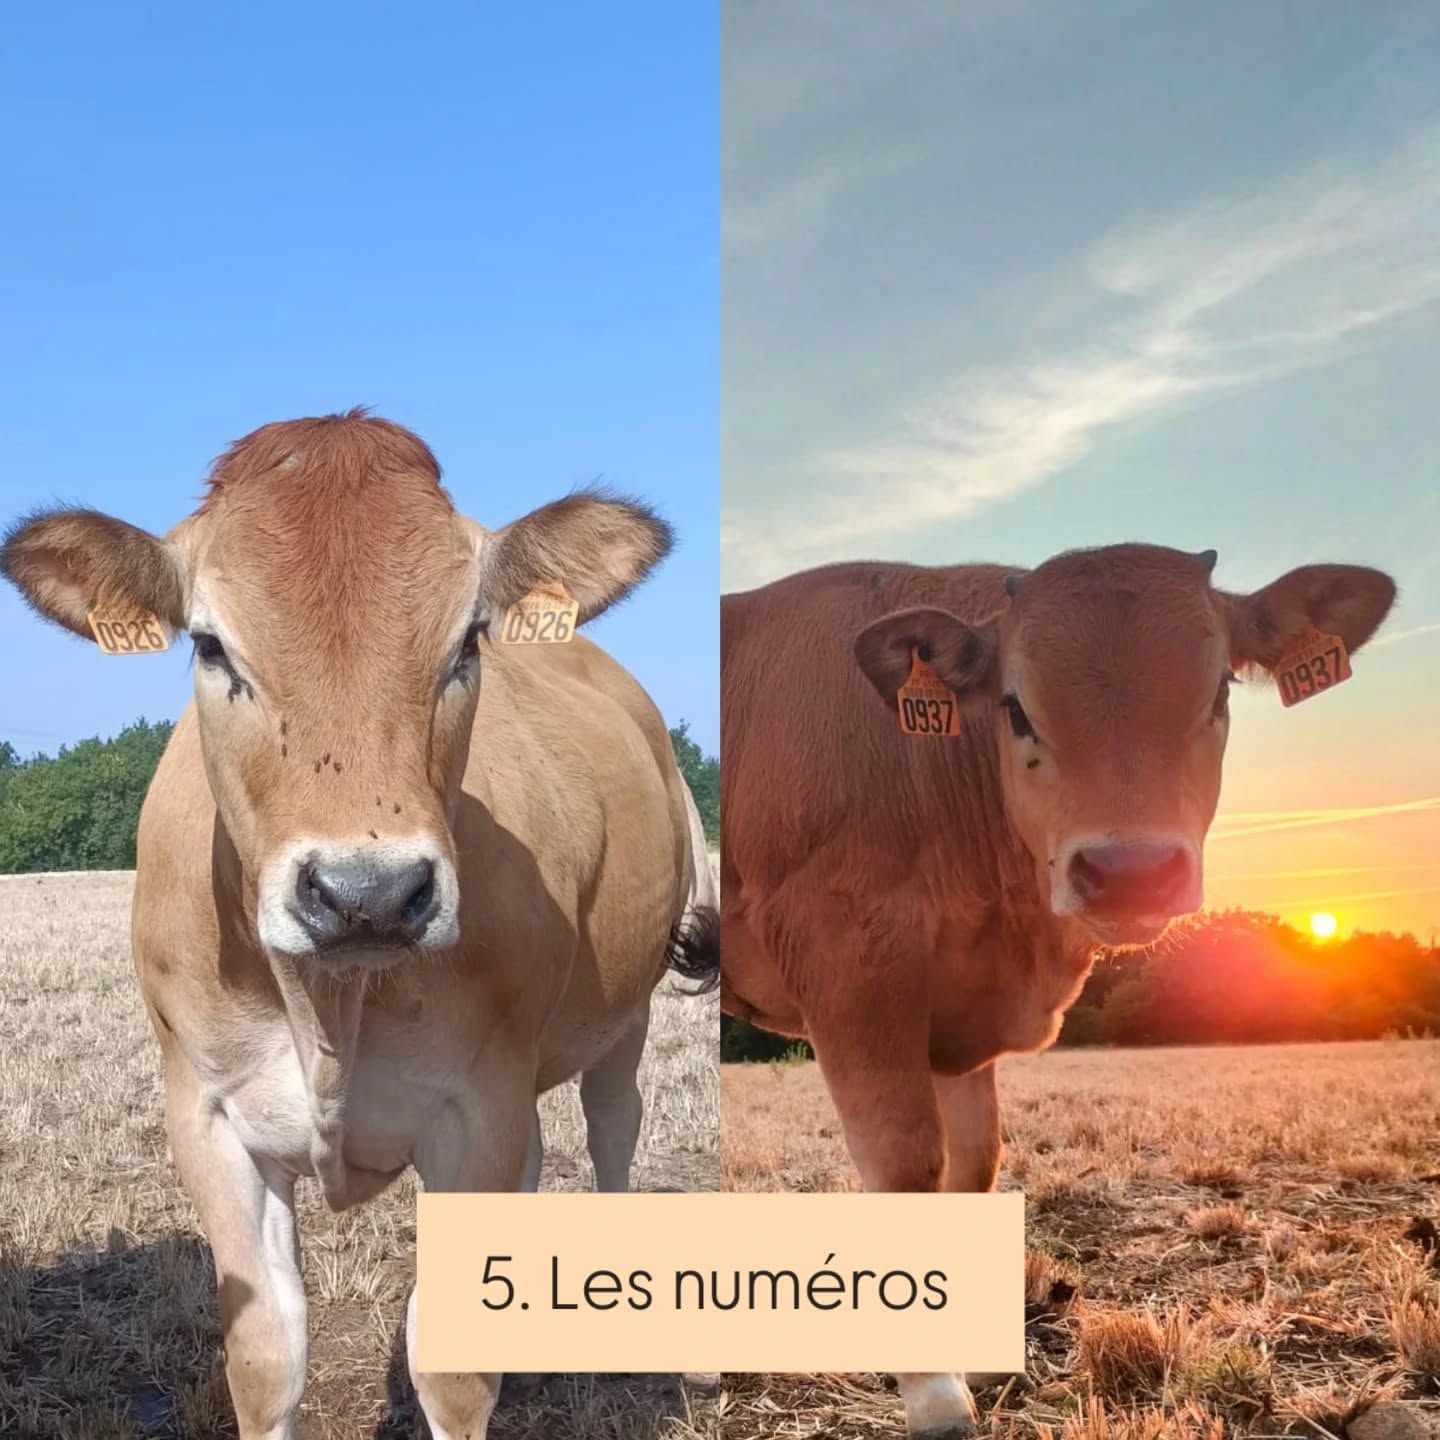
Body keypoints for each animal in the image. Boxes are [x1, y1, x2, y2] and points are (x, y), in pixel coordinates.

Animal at [1, 411, 719, 1440]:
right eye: (210, 646)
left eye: (468, 643)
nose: (366, 894)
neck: (328, 1005)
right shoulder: (208, 1120)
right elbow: (266, 1357)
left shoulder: (476, 1112)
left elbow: (450, 1369)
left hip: (629, 1014)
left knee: (613, 1132)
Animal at [719, 544, 1394, 1437]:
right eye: (1015, 707)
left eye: (1219, 692)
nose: (1130, 871)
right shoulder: (850, 969)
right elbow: (905, 1164)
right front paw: (933, 1391)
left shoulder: (958, 1016)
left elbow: (973, 1165)